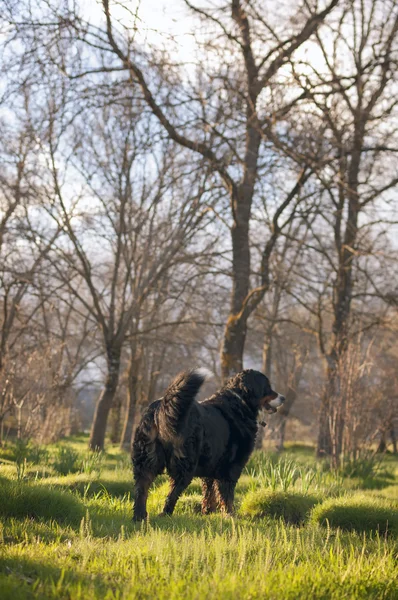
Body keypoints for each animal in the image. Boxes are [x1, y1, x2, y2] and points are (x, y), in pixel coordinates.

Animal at [132, 368, 284, 516]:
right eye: (267, 387)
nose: (283, 397)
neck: (241, 404)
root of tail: (163, 407)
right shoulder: (231, 466)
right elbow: (227, 495)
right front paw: (231, 515)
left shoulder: (211, 465)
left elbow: (209, 494)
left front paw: (207, 513)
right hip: (185, 466)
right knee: (172, 494)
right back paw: (165, 514)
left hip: (146, 460)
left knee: (141, 490)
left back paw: (140, 517)